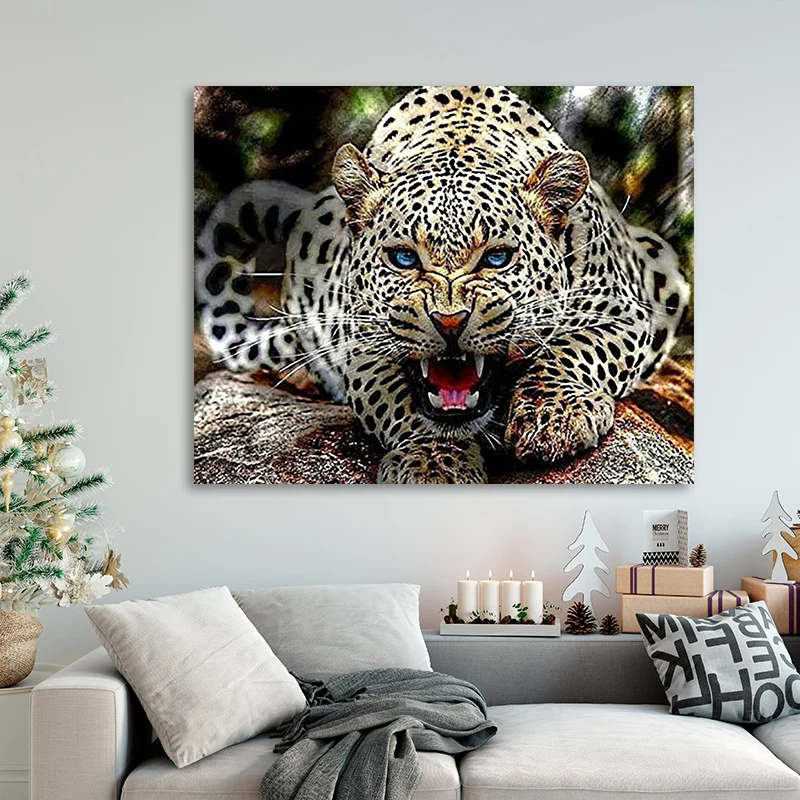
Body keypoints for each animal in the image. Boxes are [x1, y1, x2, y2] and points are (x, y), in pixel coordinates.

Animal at [195, 86, 690, 484]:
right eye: (403, 258)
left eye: (496, 258)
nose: (449, 322)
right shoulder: (359, 341)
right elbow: (401, 402)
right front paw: (433, 461)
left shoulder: (624, 310)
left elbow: (576, 351)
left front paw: (554, 416)